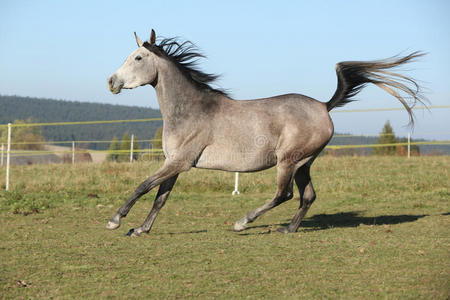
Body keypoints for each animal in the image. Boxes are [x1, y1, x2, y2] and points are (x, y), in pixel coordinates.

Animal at [106, 29, 426, 237]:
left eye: (137, 58)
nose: (111, 82)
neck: (191, 109)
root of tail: (325, 106)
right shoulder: (175, 163)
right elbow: (161, 196)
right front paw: (141, 229)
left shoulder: (179, 162)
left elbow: (143, 186)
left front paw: (116, 221)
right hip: (304, 163)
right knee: (307, 196)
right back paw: (288, 229)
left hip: (288, 161)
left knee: (284, 194)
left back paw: (242, 223)